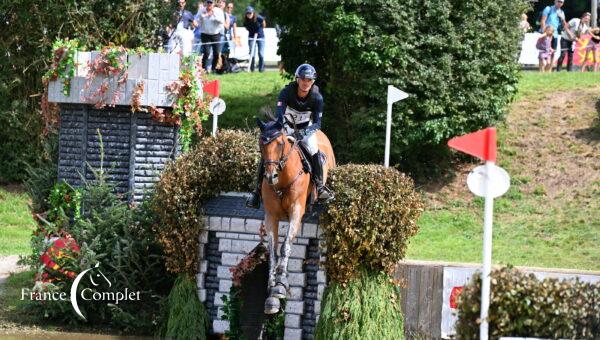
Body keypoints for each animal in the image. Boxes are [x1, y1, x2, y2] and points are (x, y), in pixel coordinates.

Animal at [255, 119, 336, 314]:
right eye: (261, 144)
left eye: (280, 143)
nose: (271, 176)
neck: (283, 179)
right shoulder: (271, 217)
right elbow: (273, 251)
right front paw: (272, 292)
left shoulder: (296, 212)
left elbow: (285, 246)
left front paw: (280, 285)